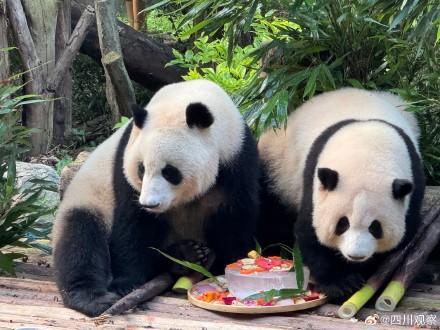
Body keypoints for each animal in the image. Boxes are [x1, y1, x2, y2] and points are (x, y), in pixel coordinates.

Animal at [52, 78, 260, 316]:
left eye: (170, 171)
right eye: (141, 169)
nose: (149, 204)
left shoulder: (237, 158)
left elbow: (234, 219)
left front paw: (229, 266)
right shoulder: (125, 160)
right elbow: (133, 224)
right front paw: (128, 284)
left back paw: (186, 255)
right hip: (88, 198)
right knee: (80, 239)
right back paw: (94, 298)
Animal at [260, 87, 424, 300]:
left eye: (375, 227)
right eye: (342, 223)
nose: (356, 256)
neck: (367, 150)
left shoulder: (413, 185)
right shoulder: (313, 180)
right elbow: (310, 232)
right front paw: (341, 284)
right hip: (279, 167)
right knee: (273, 213)